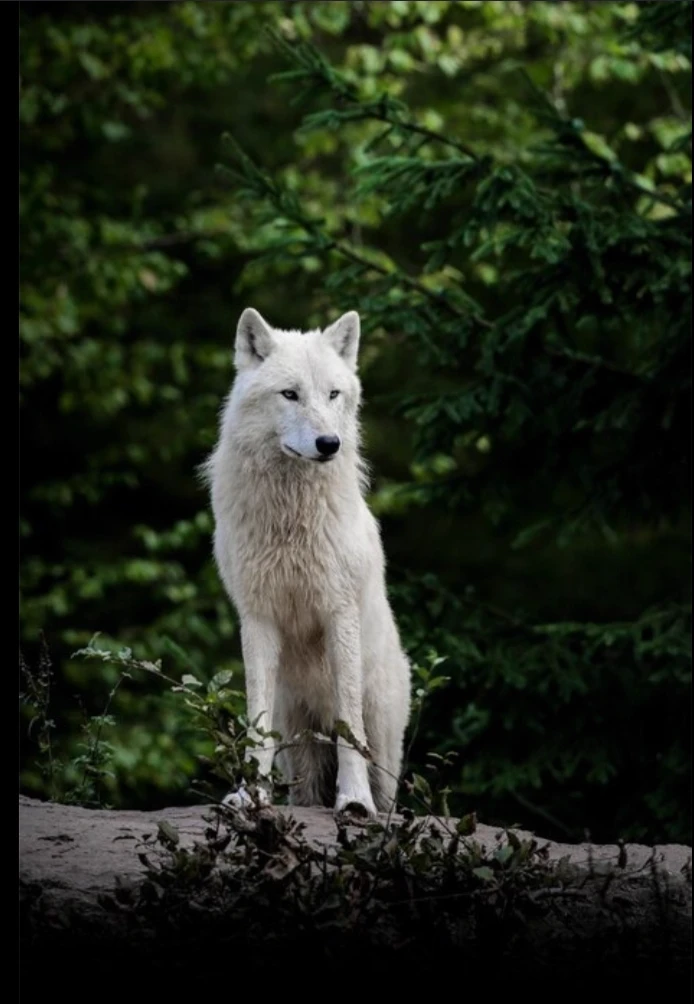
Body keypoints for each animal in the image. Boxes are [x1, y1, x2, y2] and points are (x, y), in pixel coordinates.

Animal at [205, 307, 411, 817]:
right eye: (290, 394)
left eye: (333, 394)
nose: (329, 443)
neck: (290, 518)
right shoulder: (257, 618)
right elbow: (255, 723)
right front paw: (249, 795)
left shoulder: (340, 614)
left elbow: (347, 724)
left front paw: (353, 801)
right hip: (295, 738)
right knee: (304, 790)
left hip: (385, 741)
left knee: (388, 793)